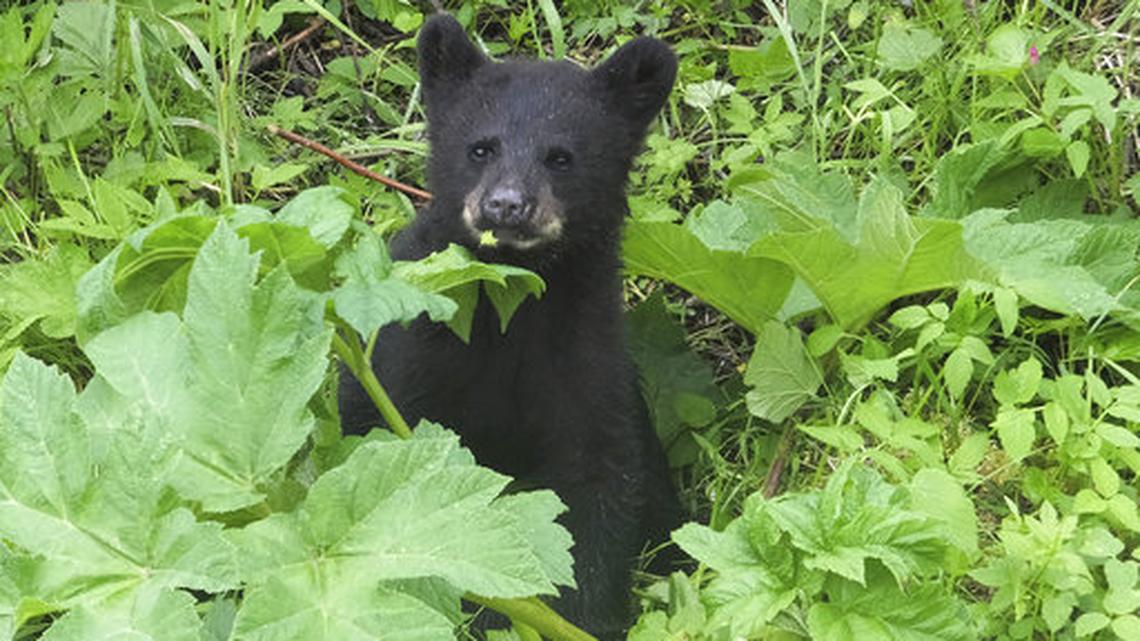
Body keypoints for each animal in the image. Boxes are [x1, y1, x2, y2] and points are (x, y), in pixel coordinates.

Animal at [338, 14, 679, 638]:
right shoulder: (409, 355)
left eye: (561, 156)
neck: (510, 306)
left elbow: (597, 485)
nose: (506, 205)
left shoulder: (587, 359)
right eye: (481, 147)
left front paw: (581, 615)